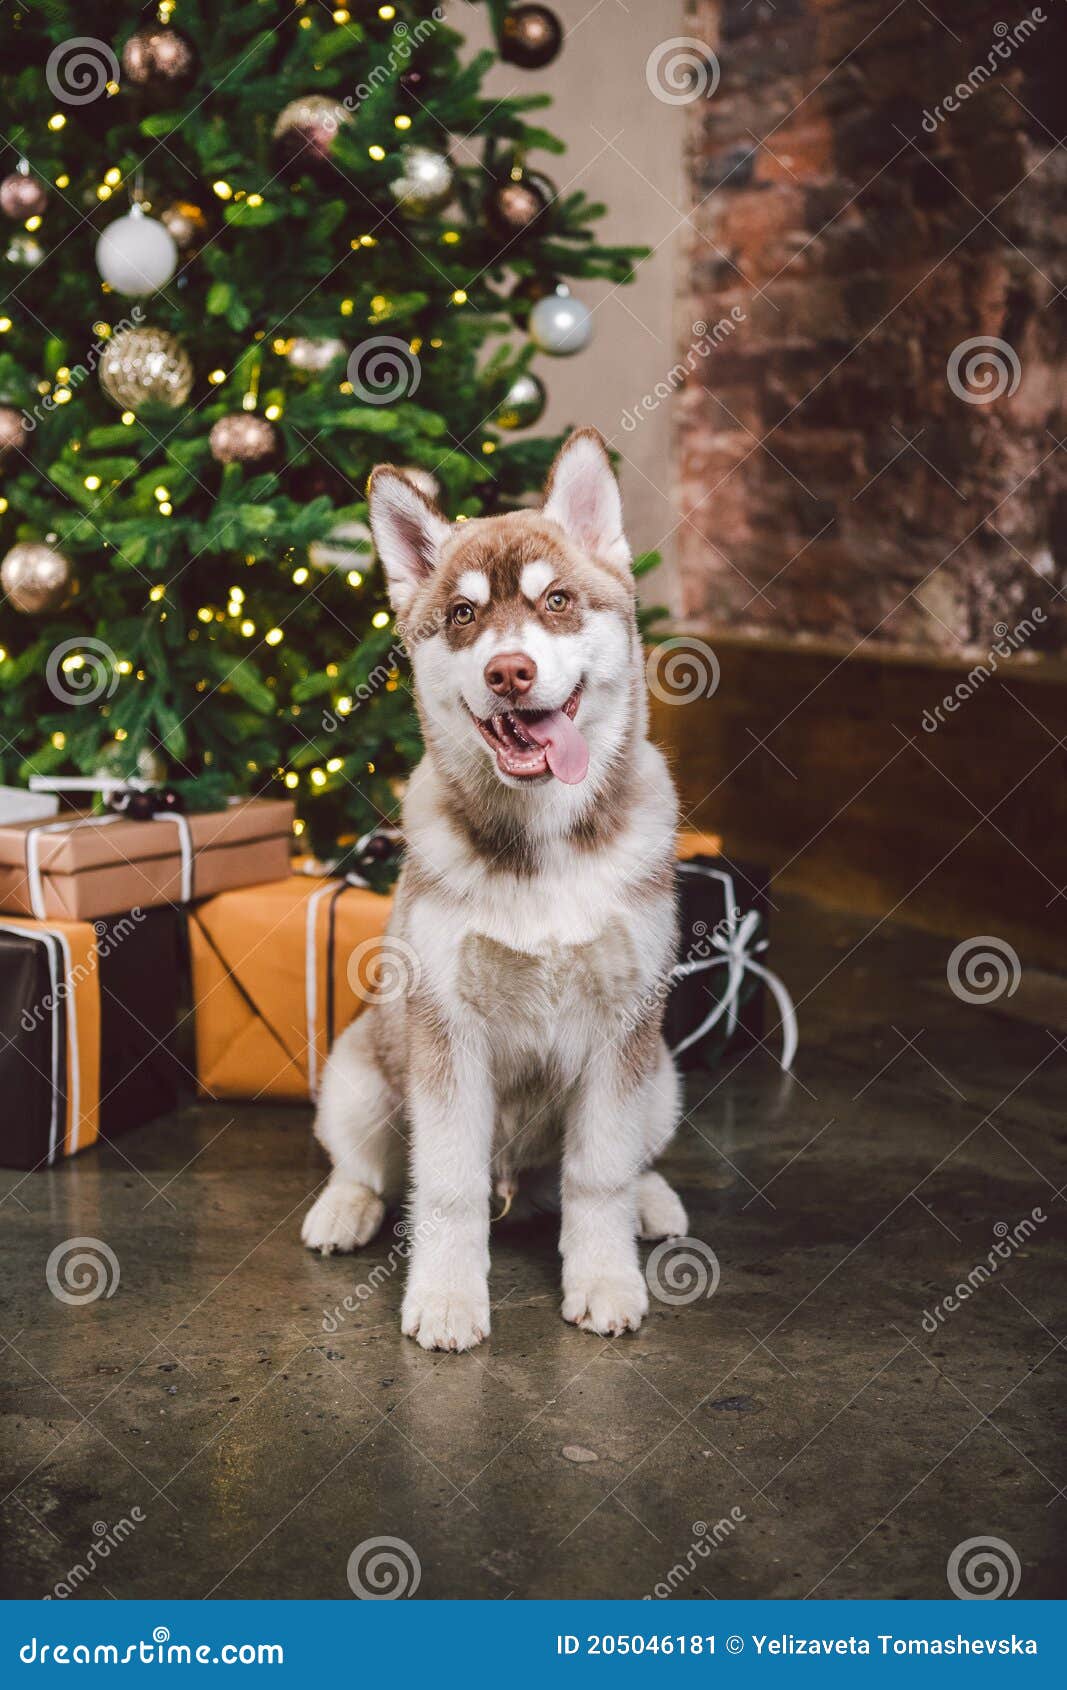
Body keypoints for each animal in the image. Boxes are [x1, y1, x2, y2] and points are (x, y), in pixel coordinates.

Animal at [302, 429, 683, 1352]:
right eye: (464, 616)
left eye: (557, 602)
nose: (510, 672)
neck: (541, 845)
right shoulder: (447, 1029)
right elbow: (444, 1185)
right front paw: (444, 1297)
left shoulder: (623, 1029)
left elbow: (599, 1173)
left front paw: (605, 1277)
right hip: (357, 1073)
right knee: (364, 1162)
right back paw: (343, 1208)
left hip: (662, 1078)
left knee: (628, 1161)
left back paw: (653, 1202)